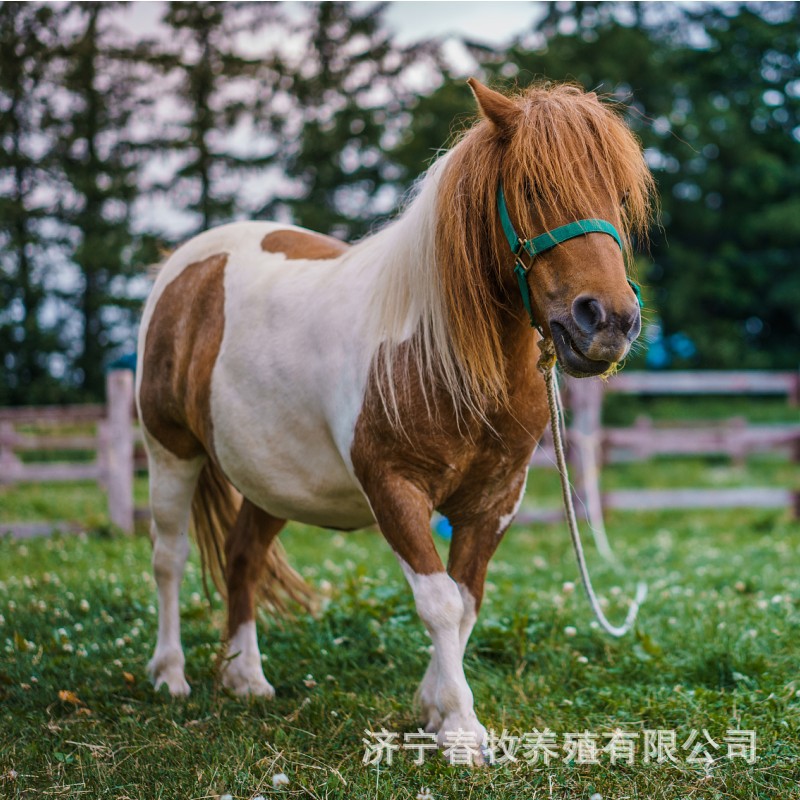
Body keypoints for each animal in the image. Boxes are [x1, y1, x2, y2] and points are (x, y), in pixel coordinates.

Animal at [135, 78, 654, 760]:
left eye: (619, 195)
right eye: (532, 189)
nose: (609, 321)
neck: (442, 351)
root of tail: (183, 266)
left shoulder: (495, 499)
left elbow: (466, 600)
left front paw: (433, 708)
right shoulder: (394, 487)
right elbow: (439, 602)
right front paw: (460, 728)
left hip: (272, 478)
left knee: (242, 555)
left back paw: (245, 676)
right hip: (171, 450)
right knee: (167, 556)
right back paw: (169, 674)